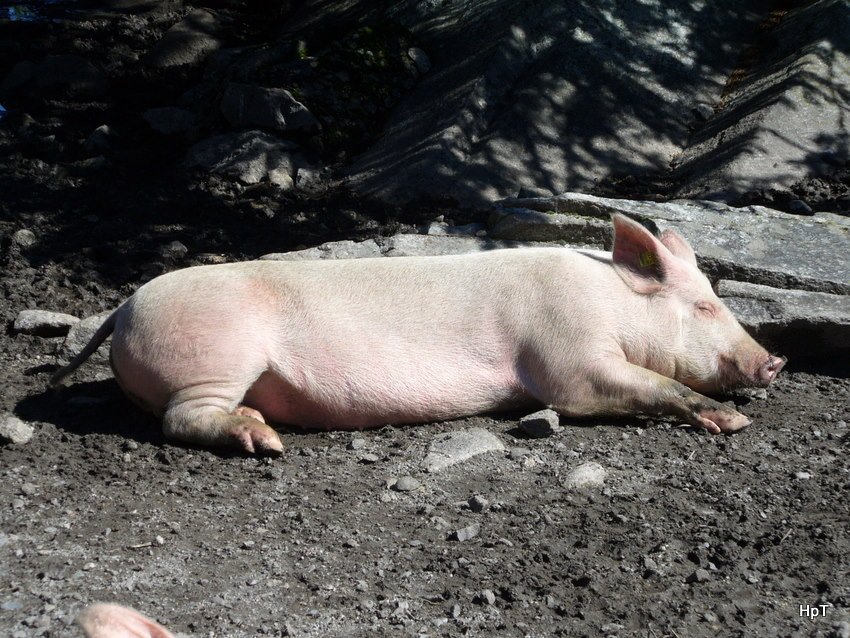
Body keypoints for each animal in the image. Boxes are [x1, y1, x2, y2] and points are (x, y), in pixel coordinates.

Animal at [51, 215, 780, 456]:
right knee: (181, 418)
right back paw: (266, 442)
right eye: (704, 305)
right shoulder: (566, 357)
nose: (773, 361)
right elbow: (637, 384)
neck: (608, 301)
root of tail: (123, 307)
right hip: (213, 355)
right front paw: (735, 424)